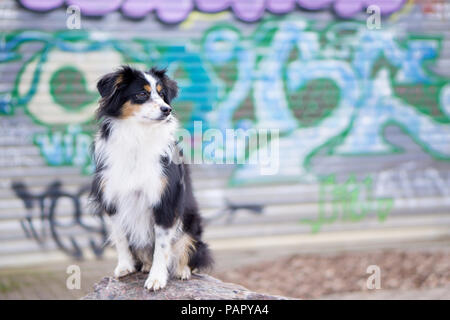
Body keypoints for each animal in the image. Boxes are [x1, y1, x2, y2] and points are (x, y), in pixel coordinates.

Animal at [90, 65, 214, 290]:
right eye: (142, 94)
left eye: (162, 94)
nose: (167, 109)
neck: (138, 135)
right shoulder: (112, 198)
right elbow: (120, 237)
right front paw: (125, 266)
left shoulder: (165, 201)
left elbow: (162, 246)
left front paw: (157, 278)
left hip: (191, 224)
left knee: (187, 247)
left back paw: (182, 270)